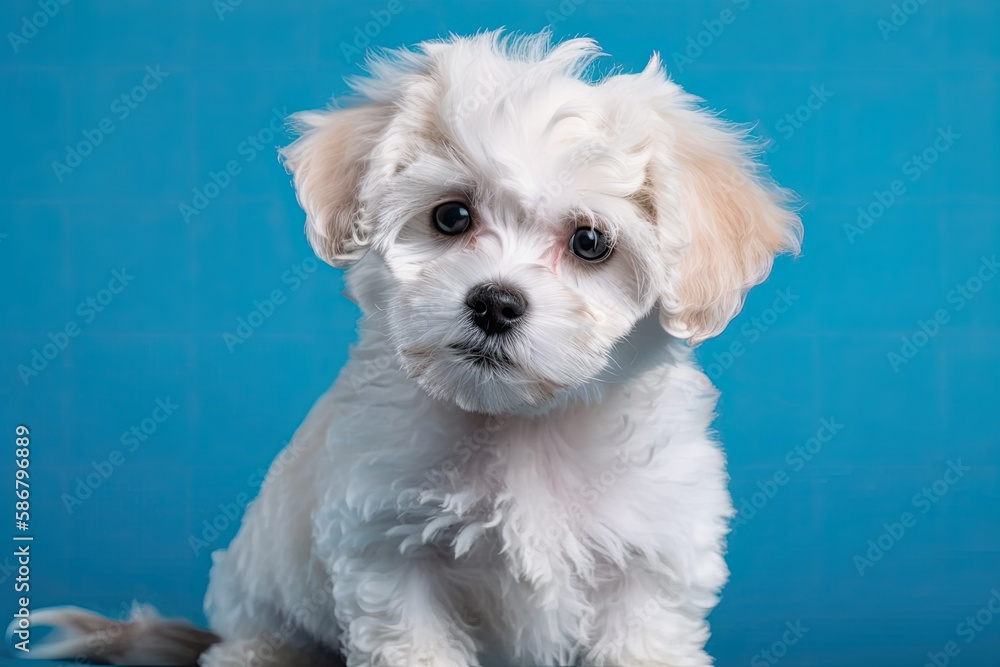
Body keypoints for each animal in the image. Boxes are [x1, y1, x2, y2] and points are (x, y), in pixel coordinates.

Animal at [23, 28, 800, 664]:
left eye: (590, 242)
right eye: (451, 216)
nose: (494, 302)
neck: (521, 428)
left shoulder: (650, 561)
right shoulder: (389, 553)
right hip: (259, 598)